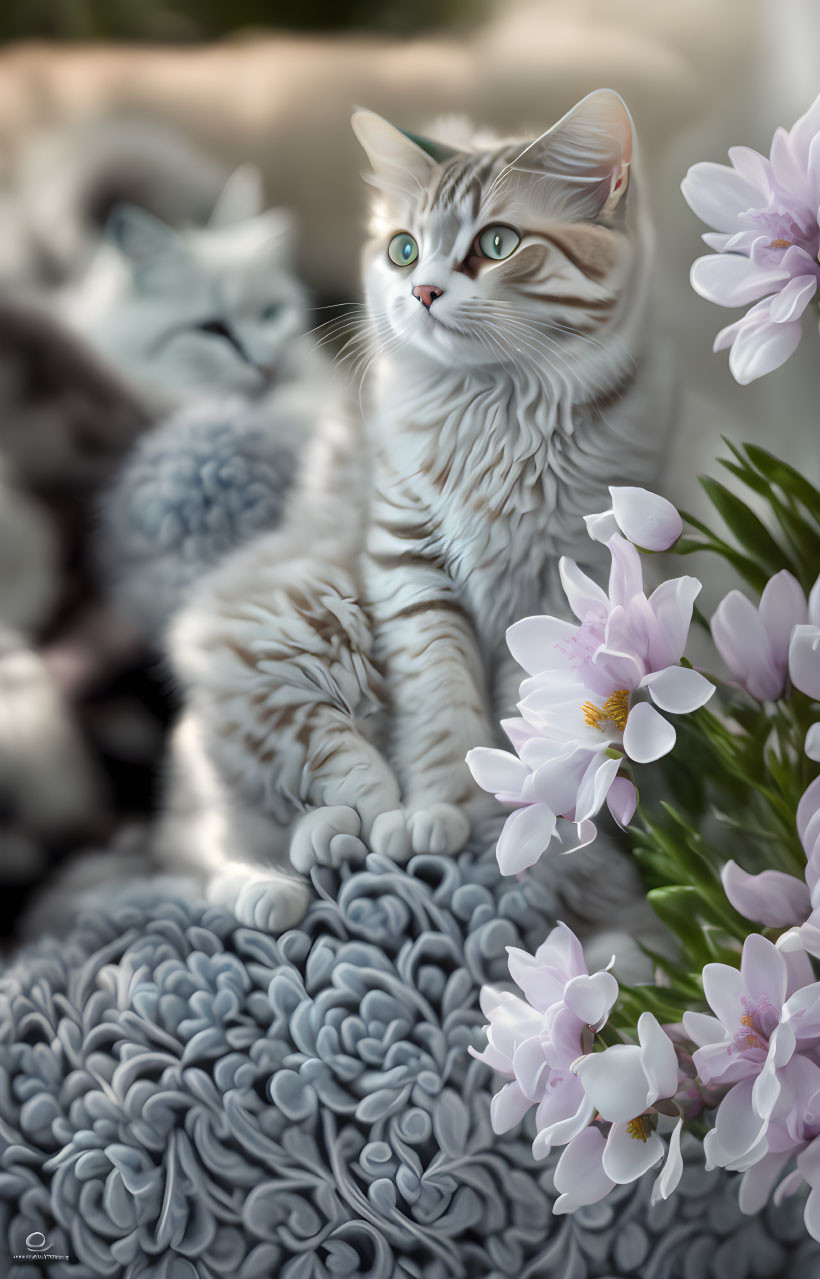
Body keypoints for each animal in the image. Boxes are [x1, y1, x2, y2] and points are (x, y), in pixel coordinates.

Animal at [158, 87, 670, 931]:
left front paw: (520, 813)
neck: (499, 411)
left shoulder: (564, 577)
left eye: (497, 243)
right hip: (293, 623)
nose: (422, 291)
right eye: (403, 251)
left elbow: (528, 717)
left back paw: (325, 844)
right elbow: (439, 702)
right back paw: (310, 860)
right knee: (272, 800)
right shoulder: (407, 562)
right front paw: (437, 809)